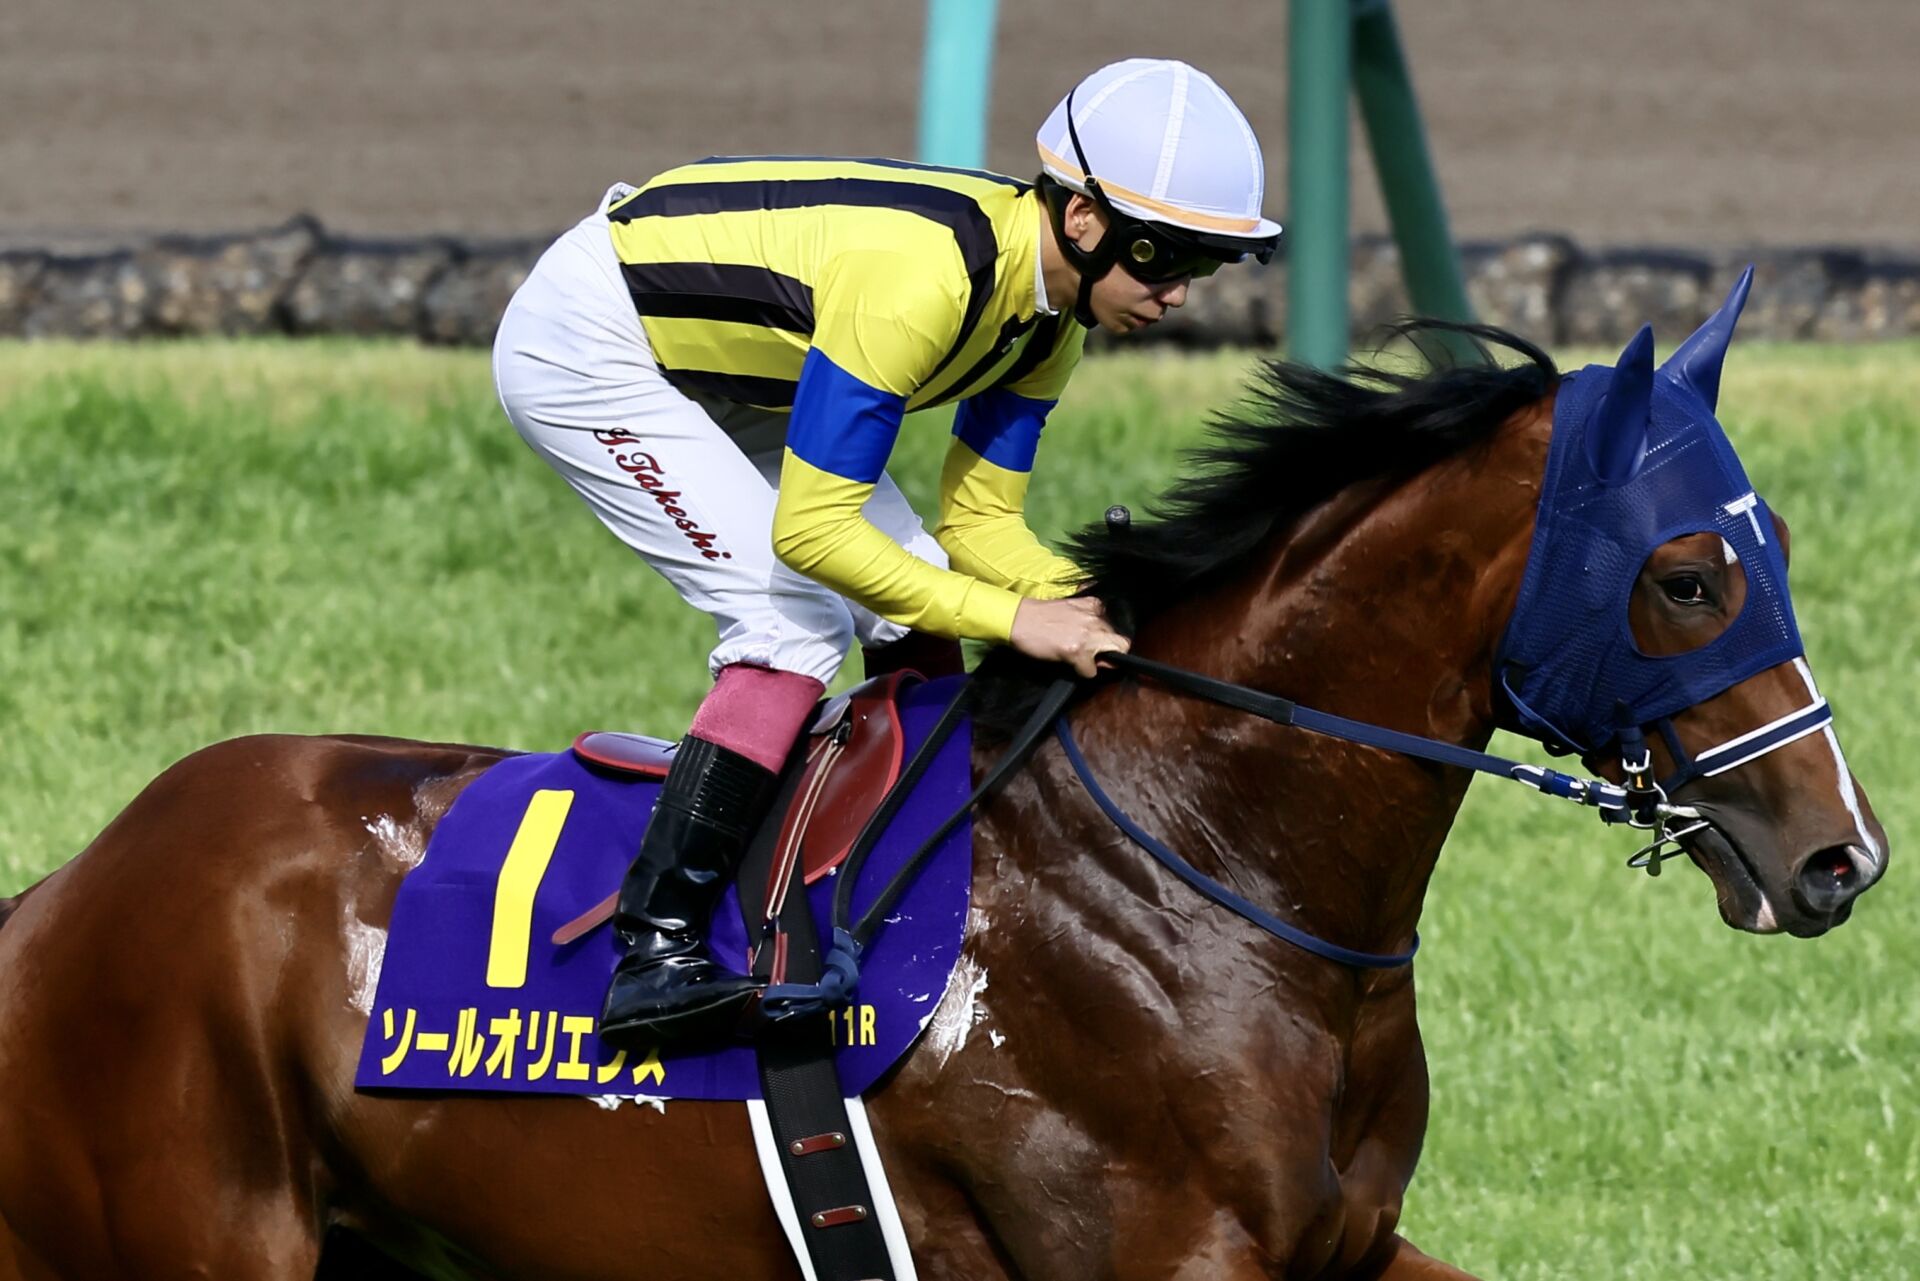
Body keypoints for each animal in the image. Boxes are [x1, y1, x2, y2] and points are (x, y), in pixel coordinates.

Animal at [0, 311, 1886, 1281]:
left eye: (1778, 542)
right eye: (1690, 577)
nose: (1840, 856)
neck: (1198, 883)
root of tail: (64, 894)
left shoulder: (1346, 1253)